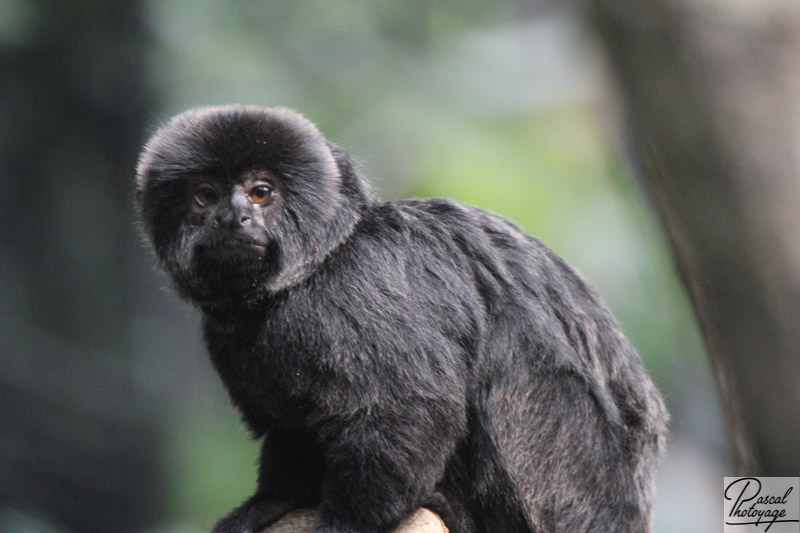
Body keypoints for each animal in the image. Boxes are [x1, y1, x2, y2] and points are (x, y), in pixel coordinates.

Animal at [138, 105, 668, 532]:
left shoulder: (353, 296)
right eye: (206, 196)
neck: (316, 267)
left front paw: (345, 523)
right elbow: (289, 425)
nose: (233, 218)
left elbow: (410, 409)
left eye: (261, 192)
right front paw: (273, 501)